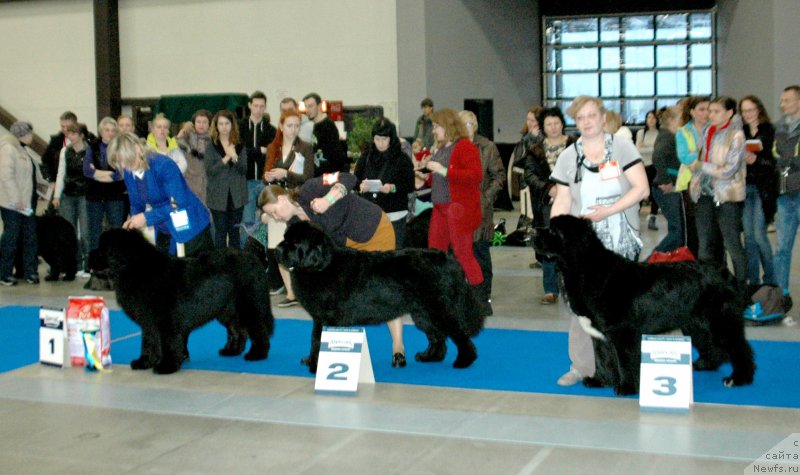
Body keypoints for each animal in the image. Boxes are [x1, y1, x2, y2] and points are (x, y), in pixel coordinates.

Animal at [92, 231, 276, 376]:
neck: (136, 268)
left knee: (258, 330)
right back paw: (232, 350)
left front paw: (166, 366)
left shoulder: (167, 322)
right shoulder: (149, 322)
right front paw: (144, 362)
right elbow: (148, 342)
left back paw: (257, 354)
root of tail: (255, 260)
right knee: (238, 330)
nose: (88, 256)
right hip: (227, 309)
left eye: (102, 250)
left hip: (249, 305)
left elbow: (168, 344)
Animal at [276, 222, 488, 376]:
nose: (276, 251)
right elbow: (314, 339)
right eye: (285, 239)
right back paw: (430, 357)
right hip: (423, 312)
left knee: (459, 334)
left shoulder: (327, 317)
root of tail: (450, 260)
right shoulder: (320, 317)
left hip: (439, 309)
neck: (322, 266)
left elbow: (318, 339)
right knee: (437, 336)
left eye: (295, 243)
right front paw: (311, 360)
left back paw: (464, 361)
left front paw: (316, 365)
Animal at [536, 217, 752, 398]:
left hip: (720, 320)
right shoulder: (600, 336)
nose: (533, 232)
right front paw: (599, 381)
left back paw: (739, 378)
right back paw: (704, 364)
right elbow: (602, 359)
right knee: (712, 346)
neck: (586, 268)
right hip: (695, 324)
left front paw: (626, 387)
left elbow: (624, 362)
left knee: (739, 348)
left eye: (553, 231)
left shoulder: (623, 333)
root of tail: (726, 273)